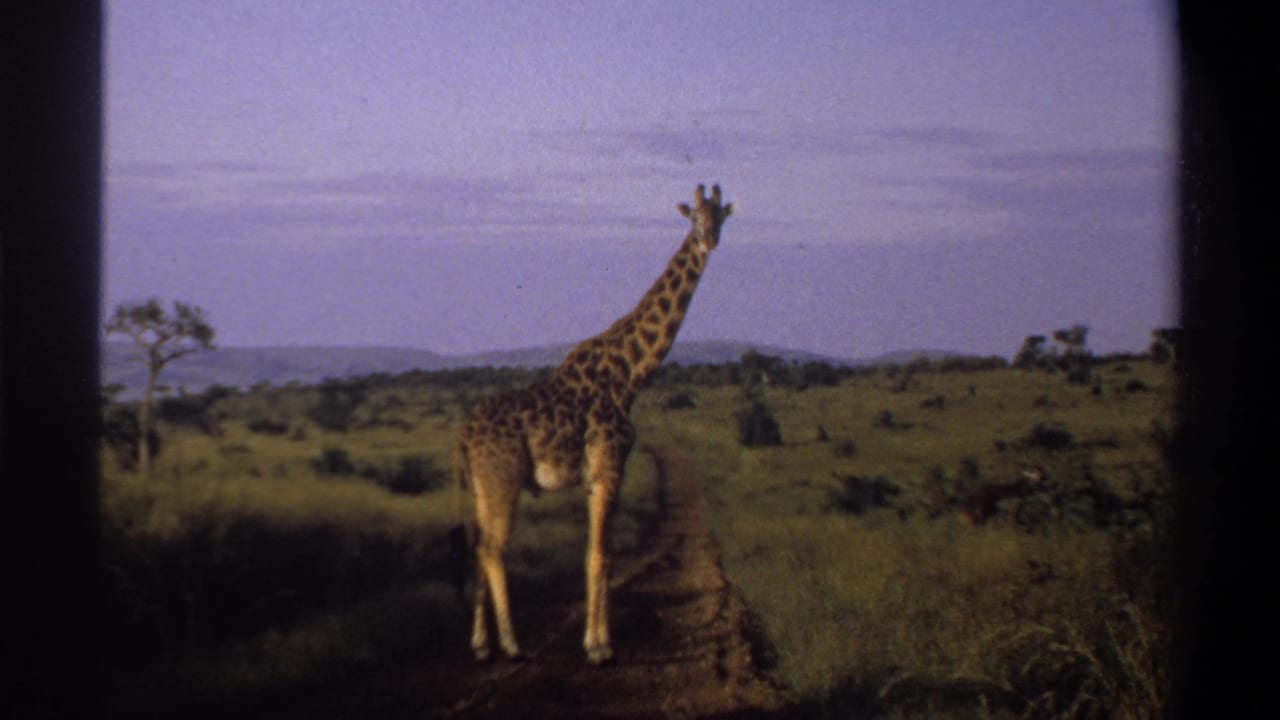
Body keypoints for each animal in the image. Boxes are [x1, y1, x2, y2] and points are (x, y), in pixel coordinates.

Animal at [454, 184, 733, 665]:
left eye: (720, 216)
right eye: (694, 217)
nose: (709, 241)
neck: (630, 374)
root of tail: (464, 436)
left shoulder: (595, 476)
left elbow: (600, 554)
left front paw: (597, 640)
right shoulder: (608, 467)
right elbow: (600, 556)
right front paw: (600, 647)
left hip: (481, 488)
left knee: (478, 547)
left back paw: (480, 644)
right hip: (503, 480)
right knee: (492, 549)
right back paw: (510, 643)